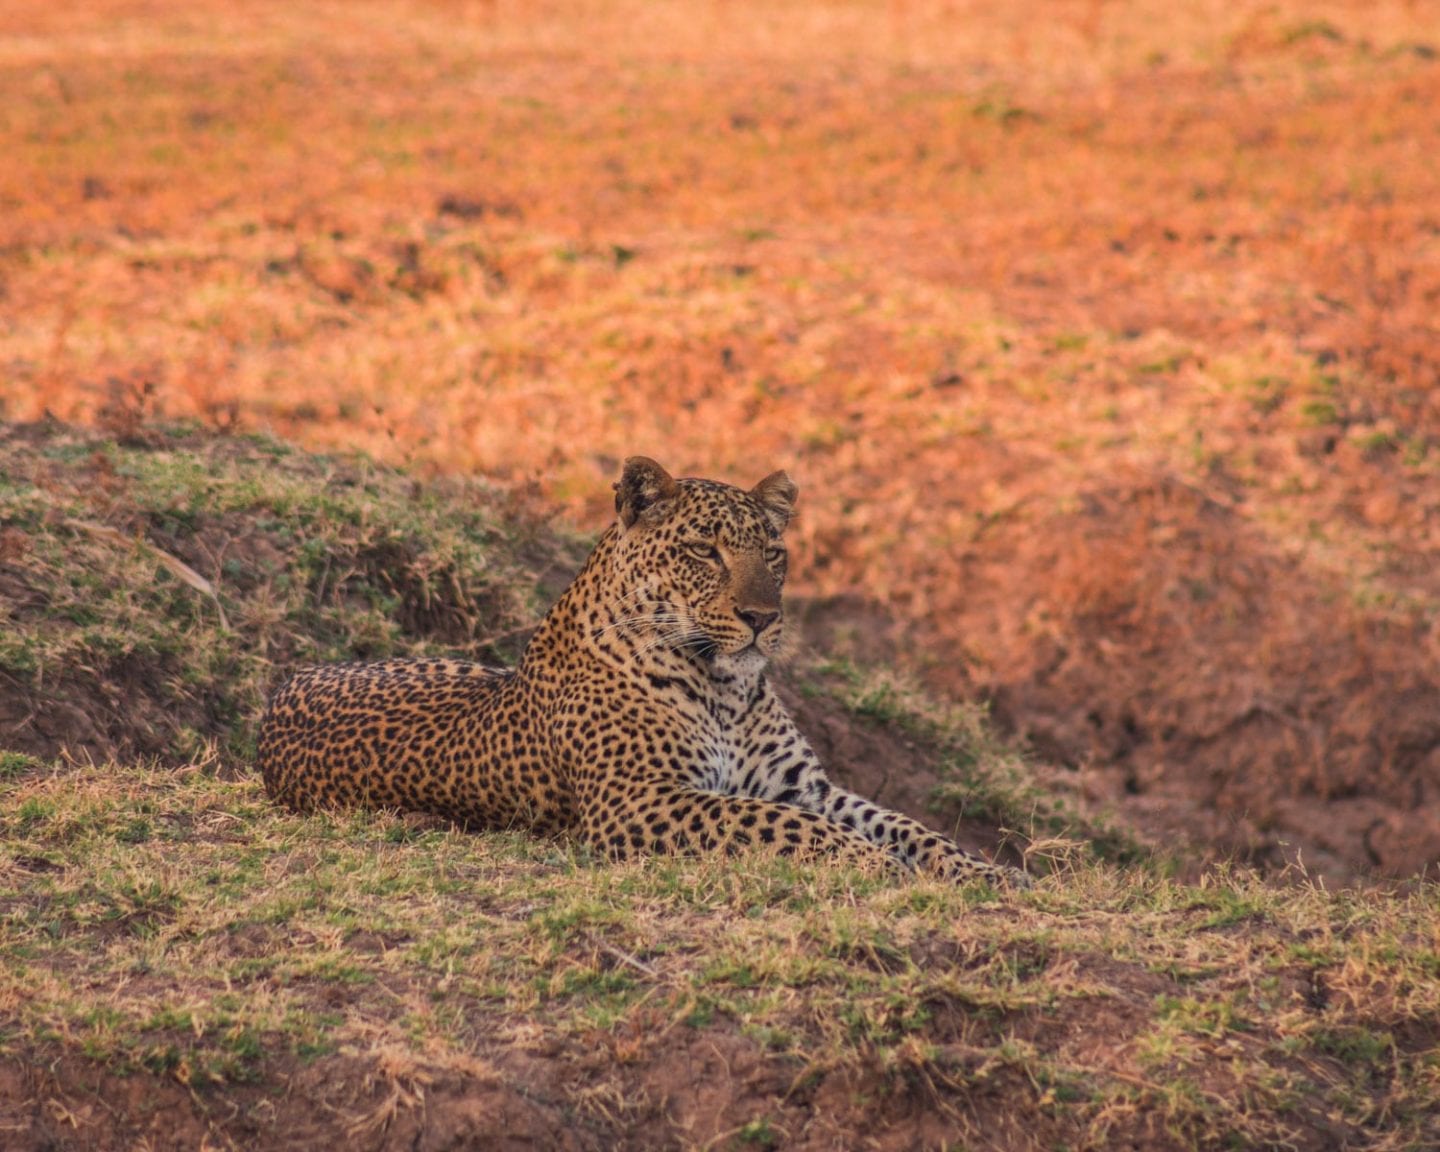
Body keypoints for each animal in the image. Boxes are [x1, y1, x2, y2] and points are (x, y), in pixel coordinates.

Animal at [258, 456, 1028, 887]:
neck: (726, 689)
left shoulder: (804, 786)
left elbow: (904, 824)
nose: (761, 617)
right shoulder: (640, 800)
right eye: (704, 551)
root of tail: (281, 692)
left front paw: (980, 871)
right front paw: (876, 865)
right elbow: (780, 826)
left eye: (773, 554)